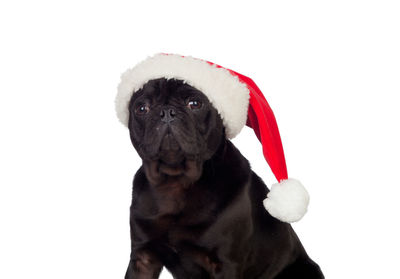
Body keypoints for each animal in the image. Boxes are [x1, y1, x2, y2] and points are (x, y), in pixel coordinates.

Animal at [123, 77, 324, 278]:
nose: (166, 112)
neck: (175, 182)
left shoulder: (225, 264)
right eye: (141, 108)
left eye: (195, 104)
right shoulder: (143, 259)